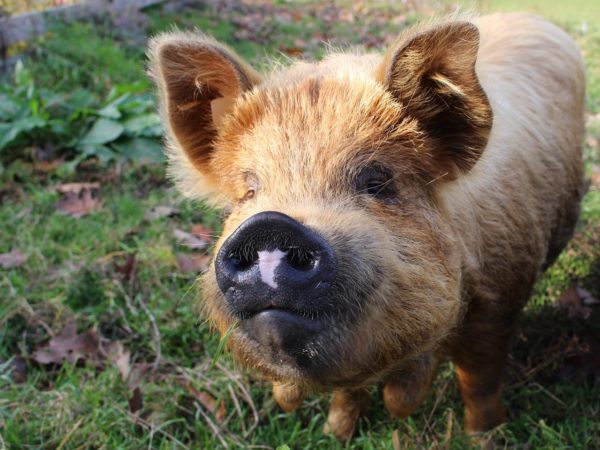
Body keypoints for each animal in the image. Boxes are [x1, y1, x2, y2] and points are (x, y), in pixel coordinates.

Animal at [148, 12, 584, 442]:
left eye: (376, 182)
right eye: (248, 192)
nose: (269, 225)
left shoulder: (501, 298)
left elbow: (478, 380)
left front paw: (485, 437)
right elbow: (348, 392)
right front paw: (334, 434)